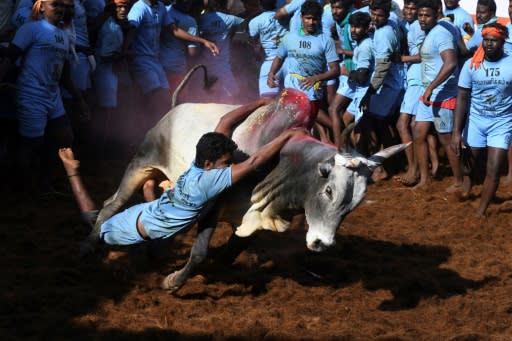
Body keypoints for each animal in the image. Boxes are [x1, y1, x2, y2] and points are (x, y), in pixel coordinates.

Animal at [87, 87, 408, 290]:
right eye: (329, 190)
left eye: (355, 204)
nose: (322, 243)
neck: (282, 165)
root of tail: (174, 109)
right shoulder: (214, 204)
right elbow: (200, 252)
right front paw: (173, 282)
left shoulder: (258, 216)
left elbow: (228, 253)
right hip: (141, 162)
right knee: (111, 205)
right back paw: (89, 248)